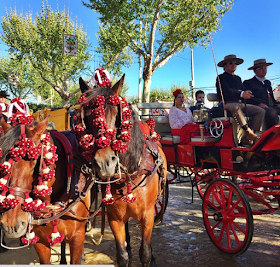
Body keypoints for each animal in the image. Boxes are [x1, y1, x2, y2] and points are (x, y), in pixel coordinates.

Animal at [75, 75, 168, 267]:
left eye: (116, 114)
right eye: (86, 117)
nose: (104, 163)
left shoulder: (148, 216)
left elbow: (145, 252)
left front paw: (150, 257)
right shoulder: (114, 218)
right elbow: (122, 255)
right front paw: (127, 250)